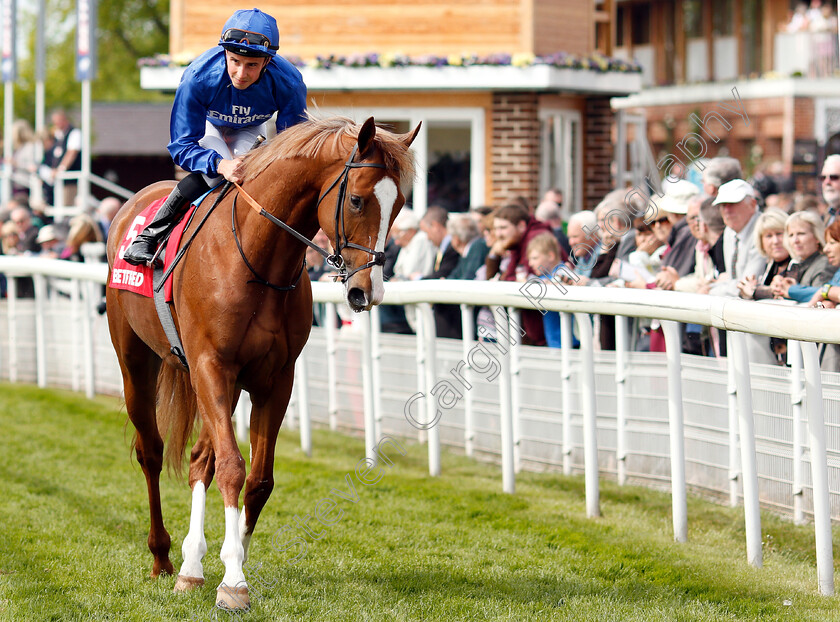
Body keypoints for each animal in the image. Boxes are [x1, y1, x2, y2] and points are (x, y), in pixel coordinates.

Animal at [105, 116, 420, 608]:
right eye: (356, 199)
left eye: (401, 204)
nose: (366, 292)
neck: (257, 260)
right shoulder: (211, 366)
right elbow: (233, 469)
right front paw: (234, 581)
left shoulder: (274, 379)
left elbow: (258, 479)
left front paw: (232, 561)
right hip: (137, 362)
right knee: (151, 452)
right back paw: (163, 557)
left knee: (200, 459)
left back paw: (191, 566)